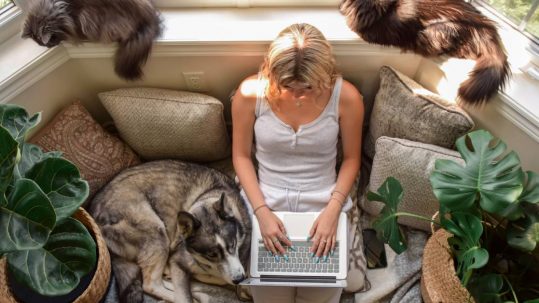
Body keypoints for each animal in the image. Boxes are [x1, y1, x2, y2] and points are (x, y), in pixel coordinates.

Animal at [89, 160, 252, 302]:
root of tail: (95, 214)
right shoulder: (179, 259)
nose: (240, 279)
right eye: (211, 254)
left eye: (233, 245)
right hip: (156, 230)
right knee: (150, 284)